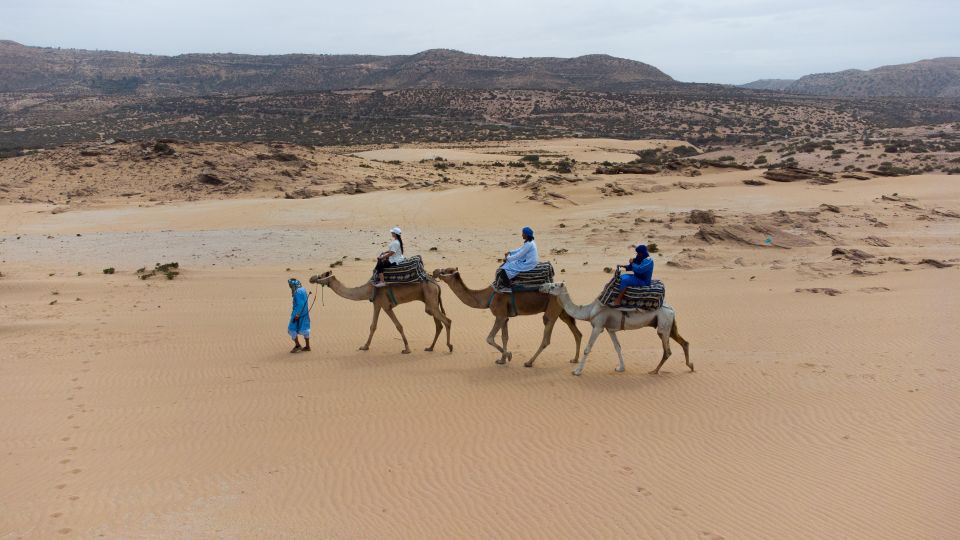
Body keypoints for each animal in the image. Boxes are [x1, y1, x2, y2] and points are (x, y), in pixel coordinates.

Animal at [312, 270, 454, 354]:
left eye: (323, 274)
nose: (312, 278)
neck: (369, 289)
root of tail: (436, 284)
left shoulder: (386, 306)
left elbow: (398, 326)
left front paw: (407, 349)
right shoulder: (377, 304)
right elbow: (373, 326)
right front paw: (365, 346)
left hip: (430, 298)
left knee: (447, 321)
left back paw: (450, 346)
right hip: (430, 301)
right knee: (438, 324)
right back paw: (430, 348)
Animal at [432, 266, 580, 368]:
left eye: (447, 270)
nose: (435, 271)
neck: (487, 297)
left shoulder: (500, 315)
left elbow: (490, 338)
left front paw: (508, 355)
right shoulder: (505, 317)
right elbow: (505, 337)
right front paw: (502, 360)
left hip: (552, 311)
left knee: (546, 338)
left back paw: (529, 362)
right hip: (562, 311)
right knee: (577, 333)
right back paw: (575, 359)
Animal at [540, 282, 688, 376]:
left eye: (553, 285)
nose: (541, 286)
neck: (589, 310)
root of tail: (672, 309)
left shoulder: (598, 326)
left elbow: (588, 348)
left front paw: (576, 371)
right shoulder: (610, 329)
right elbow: (617, 347)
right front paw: (621, 368)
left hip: (663, 325)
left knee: (667, 350)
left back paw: (654, 371)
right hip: (669, 325)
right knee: (684, 342)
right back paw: (690, 366)